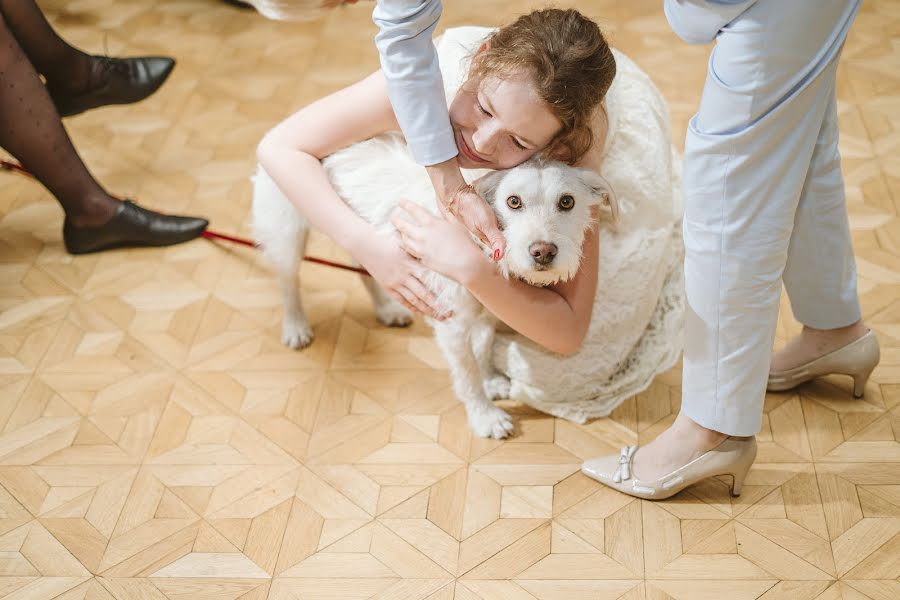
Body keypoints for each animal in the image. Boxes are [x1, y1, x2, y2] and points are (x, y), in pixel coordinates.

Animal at [253, 134, 620, 438]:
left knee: (365, 269)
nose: (543, 252)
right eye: (513, 201)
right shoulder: (453, 325)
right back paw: (296, 326)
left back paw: (387, 309)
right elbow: (467, 373)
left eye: (567, 202)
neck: (476, 242)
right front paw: (485, 416)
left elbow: (483, 349)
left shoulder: (486, 314)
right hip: (288, 234)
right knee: (289, 282)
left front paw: (490, 380)